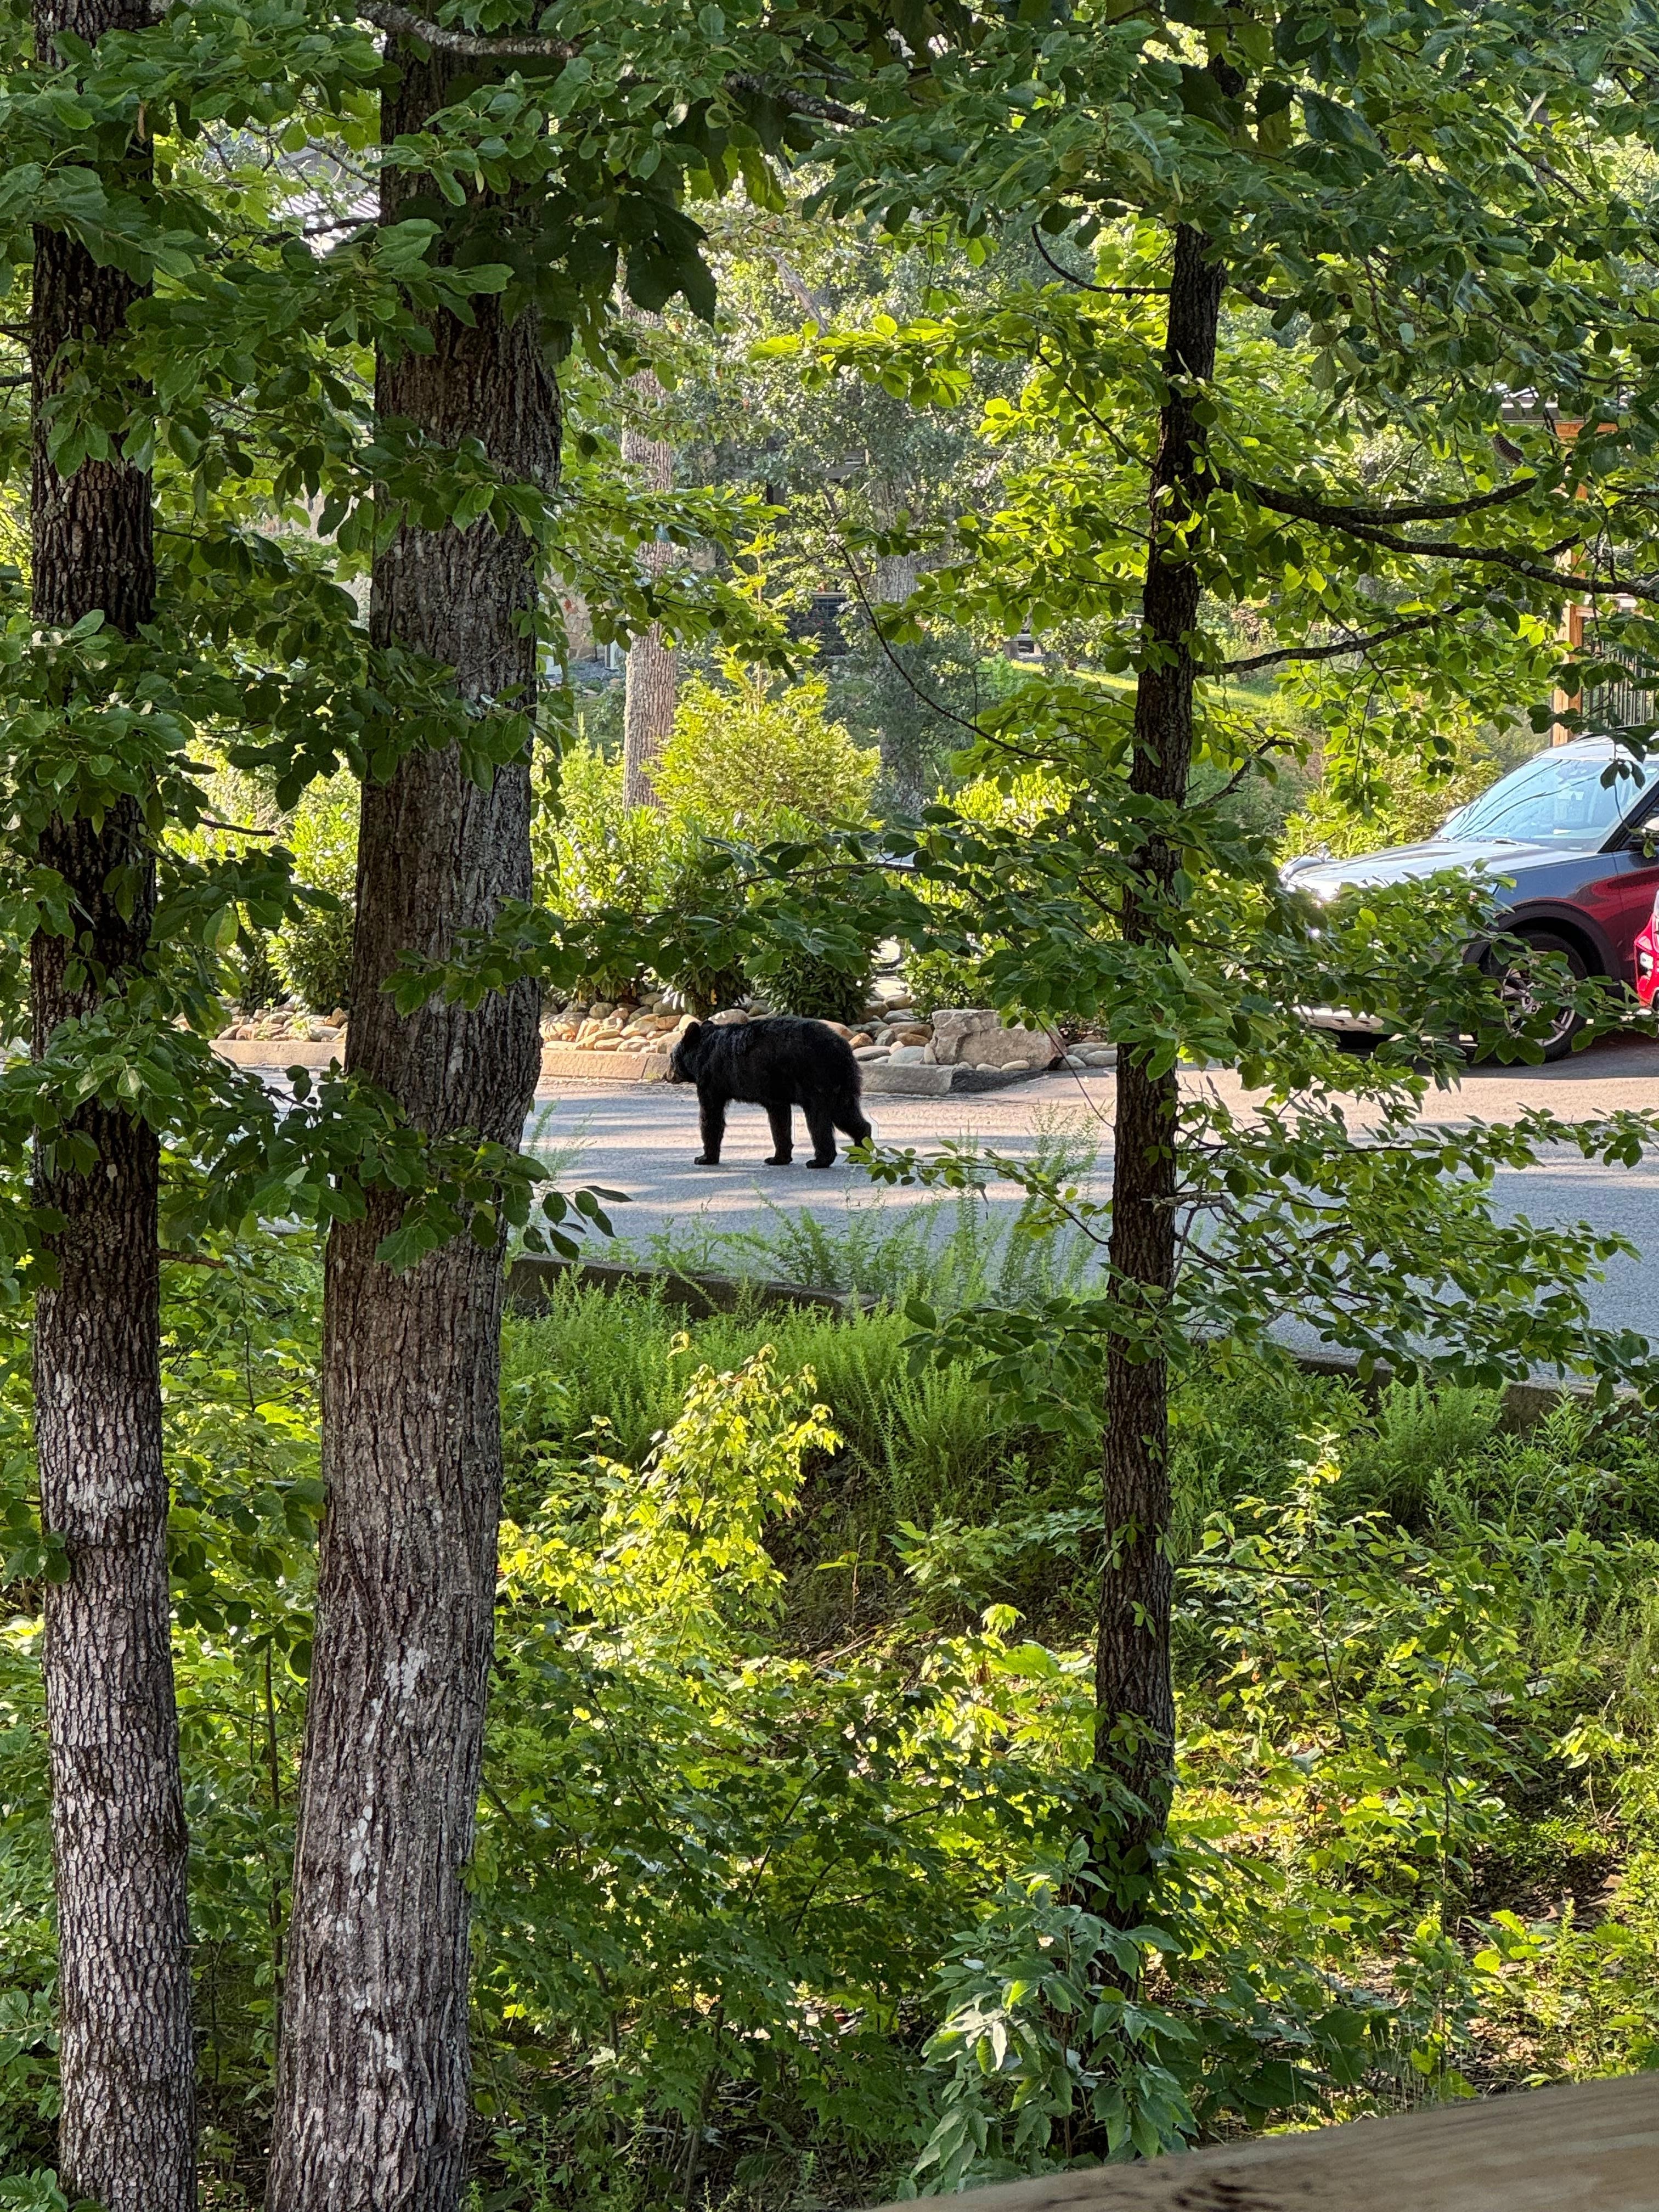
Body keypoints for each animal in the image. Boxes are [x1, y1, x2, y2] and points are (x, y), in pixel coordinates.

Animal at [667, 1016, 874, 1169]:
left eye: (671, 1057)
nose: (669, 1075)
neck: (703, 1050)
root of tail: (840, 1046)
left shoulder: (711, 1080)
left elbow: (711, 1115)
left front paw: (705, 1158)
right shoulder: (775, 1093)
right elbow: (779, 1120)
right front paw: (778, 1158)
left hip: (816, 1078)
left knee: (819, 1119)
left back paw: (820, 1160)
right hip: (841, 1083)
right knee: (845, 1112)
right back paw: (861, 1150)